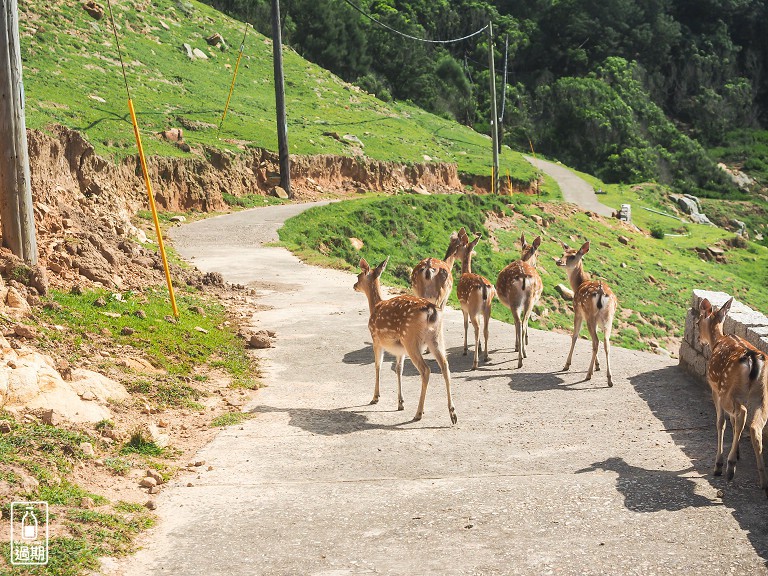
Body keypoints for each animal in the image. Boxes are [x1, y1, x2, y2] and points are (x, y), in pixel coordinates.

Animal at [354, 258, 456, 426]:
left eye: (358, 276)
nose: (354, 285)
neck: (375, 306)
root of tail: (431, 311)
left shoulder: (376, 338)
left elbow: (378, 365)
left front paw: (375, 397)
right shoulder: (399, 349)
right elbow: (399, 369)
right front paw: (400, 402)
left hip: (410, 339)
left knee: (426, 370)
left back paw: (419, 413)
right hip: (436, 338)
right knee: (445, 366)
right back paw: (452, 413)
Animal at [452, 230, 496, 368]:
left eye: (458, 247)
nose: (454, 255)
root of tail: (484, 287)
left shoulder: (463, 307)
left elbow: (465, 325)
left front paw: (465, 349)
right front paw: (481, 349)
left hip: (472, 307)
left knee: (477, 329)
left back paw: (475, 362)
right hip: (487, 309)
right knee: (485, 329)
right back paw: (486, 356)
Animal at [496, 232, 544, 366]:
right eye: (537, 254)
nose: (536, 265)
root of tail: (523, 277)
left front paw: (518, 345)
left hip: (515, 301)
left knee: (519, 323)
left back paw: (521, 356)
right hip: (528, 300)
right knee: (522, 323)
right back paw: (523, 355)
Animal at [552, 241, 616, 384]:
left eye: (572, 256)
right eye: (563, 253)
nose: (559, 262)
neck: (579, 284)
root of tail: (601, 292)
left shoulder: (578, 311)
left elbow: (574, 336)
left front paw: (567, 364)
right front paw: (598, 365)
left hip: (589, 314)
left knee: (596, 341)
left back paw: (588, 374)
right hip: (608, 317)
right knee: (606, 342)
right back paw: (609, 379)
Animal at [696, 296, 768, 496]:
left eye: (697, 322)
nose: (698, 338)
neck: (717, 341)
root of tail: (753, 358)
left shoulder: (715, 389)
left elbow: (721, 422)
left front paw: (719, 463)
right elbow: (734, 423)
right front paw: (737, 453)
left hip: (727, 391)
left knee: (742, 414)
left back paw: (728, 467)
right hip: (762, 395)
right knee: (754, 426)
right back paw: (763, 481)